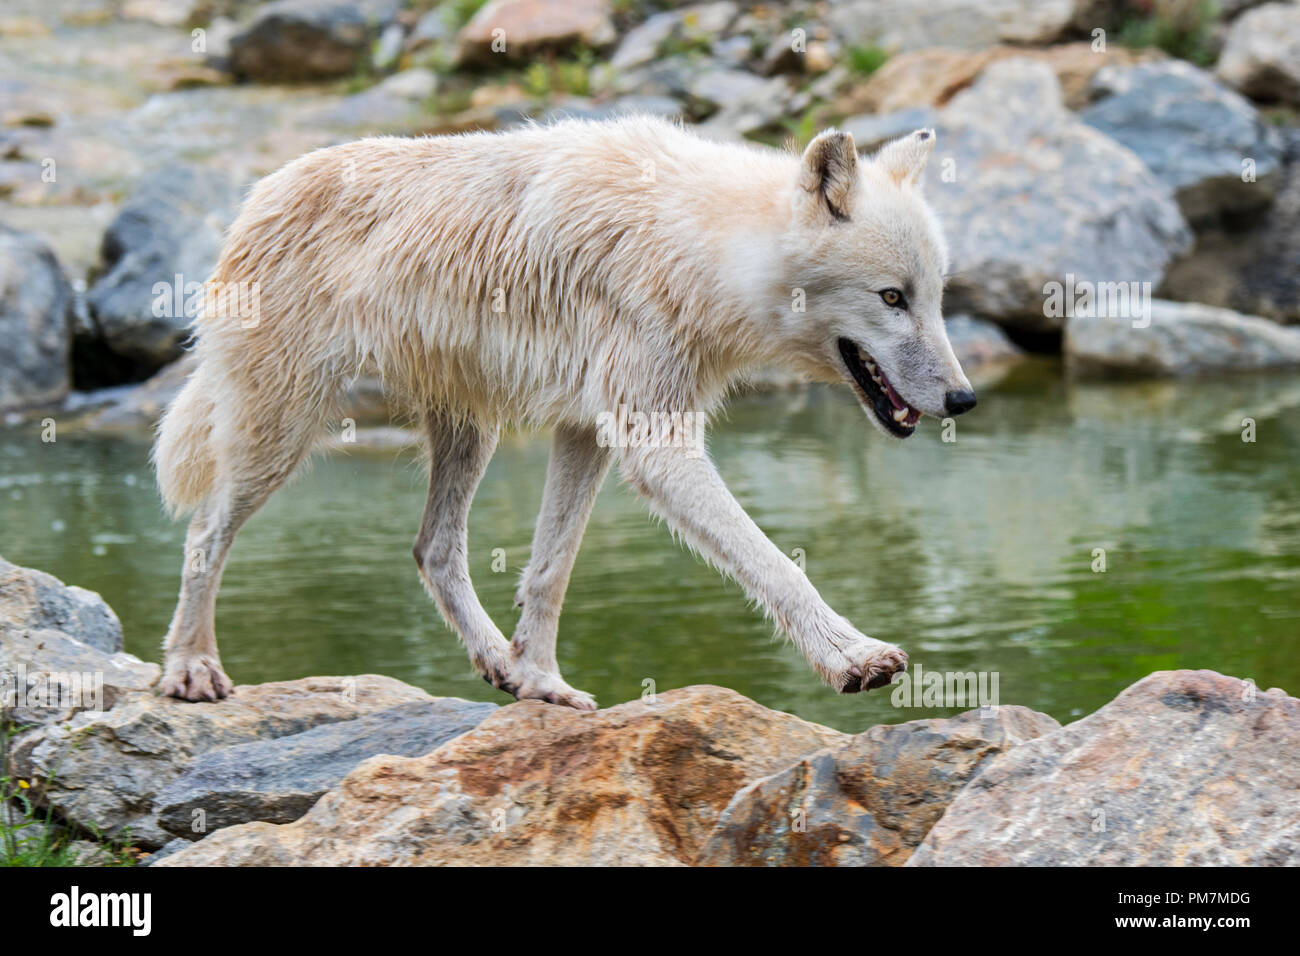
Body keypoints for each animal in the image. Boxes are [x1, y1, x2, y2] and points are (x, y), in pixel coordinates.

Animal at [152, 113, 977, 712]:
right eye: (891, 297)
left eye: (935, 297)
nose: (964, 399)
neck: (695, 244)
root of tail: (255, 197)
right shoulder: (652, 441)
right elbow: (776, 564)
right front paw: (852, 657)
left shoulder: (587, 431)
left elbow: (550, 572)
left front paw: (542, 681)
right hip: (283, 429)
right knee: (203, 534)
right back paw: (191, 668)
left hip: (469, 431)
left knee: (433, 550)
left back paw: (499, 664)